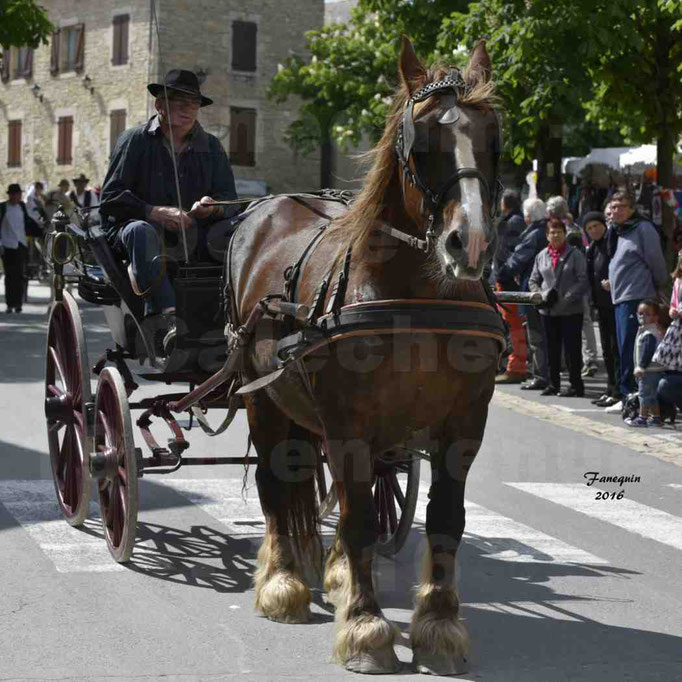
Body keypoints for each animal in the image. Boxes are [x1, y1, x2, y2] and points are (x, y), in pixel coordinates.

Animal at [228, 35, 500, 668]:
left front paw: (438, 625)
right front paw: (366, 626)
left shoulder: (463, 425)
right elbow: (355, 524)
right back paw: (283, 581)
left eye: (493, 138)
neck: (418, 297)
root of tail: (267, 207)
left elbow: (443, 519)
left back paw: (332, 574)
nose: (470, 243)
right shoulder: (348, 421)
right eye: (421, 143)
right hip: (264, 400)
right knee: (278, 482)